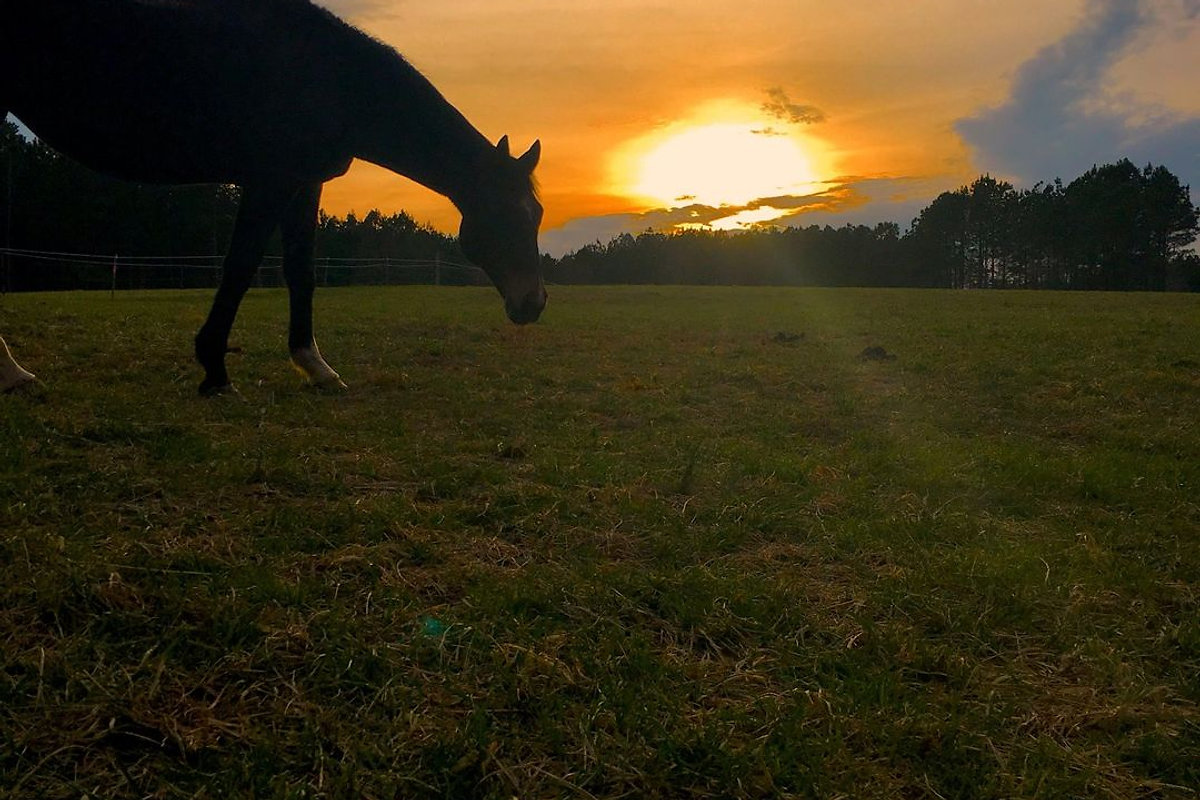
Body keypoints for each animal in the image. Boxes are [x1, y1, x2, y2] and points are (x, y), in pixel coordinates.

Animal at [0, 0, 545, 394]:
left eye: (536, 213)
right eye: (506, 216)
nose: (534, 304)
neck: (330, 78)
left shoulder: (302, 182)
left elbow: (300, 271)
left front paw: (316, 367)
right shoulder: (269, 179)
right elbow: (240, 266)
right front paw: (214, 369)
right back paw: (13, 373)